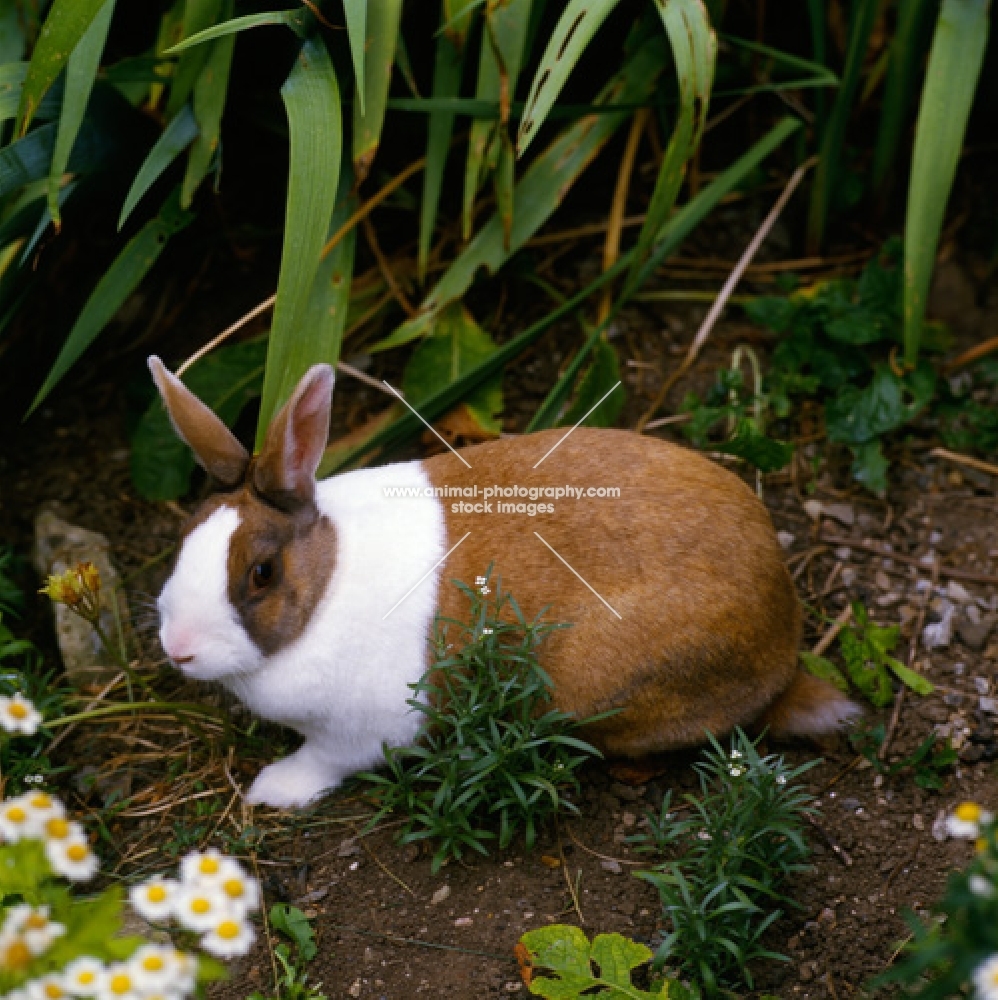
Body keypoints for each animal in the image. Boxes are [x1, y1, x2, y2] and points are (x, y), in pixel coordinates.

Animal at [148, 356, 860, 808]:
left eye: (261, 574)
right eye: (182, 539)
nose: (178, 649)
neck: (325, 585)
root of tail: (783, 649)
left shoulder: (355, 735)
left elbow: (320, 762)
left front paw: (271, 790)